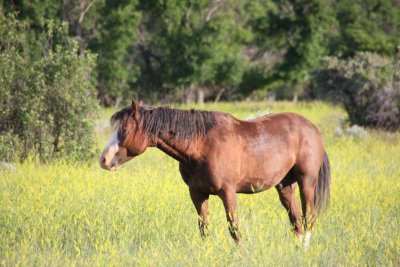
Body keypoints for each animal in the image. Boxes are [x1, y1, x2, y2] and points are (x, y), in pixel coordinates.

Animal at [98, 101, 330, 249]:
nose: (104, 160)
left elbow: (234, 229)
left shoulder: (228, 192)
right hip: (285, 186)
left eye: (124, 130)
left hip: (307, 182)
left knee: (308, 217)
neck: (201, 146)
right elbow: (204, 228)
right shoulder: (197, 193)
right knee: (296, 220)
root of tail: (312, 129)